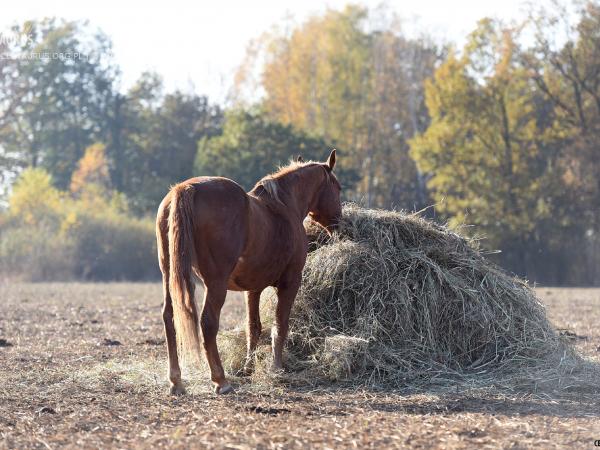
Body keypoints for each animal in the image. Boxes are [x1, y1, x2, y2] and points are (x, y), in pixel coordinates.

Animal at [157, 149, 340, 392]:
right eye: (338, 188)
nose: (340, 225)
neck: (284, 207)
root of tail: (186, 188)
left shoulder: (252, 289)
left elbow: (253, 327)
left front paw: (248, 368)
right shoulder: (290, 283)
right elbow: (280, 325)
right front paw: (276, 368)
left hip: (169, 276)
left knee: (169, 318)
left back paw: (176, 381)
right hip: (215, 283)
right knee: (208, 323)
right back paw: (220, 379)